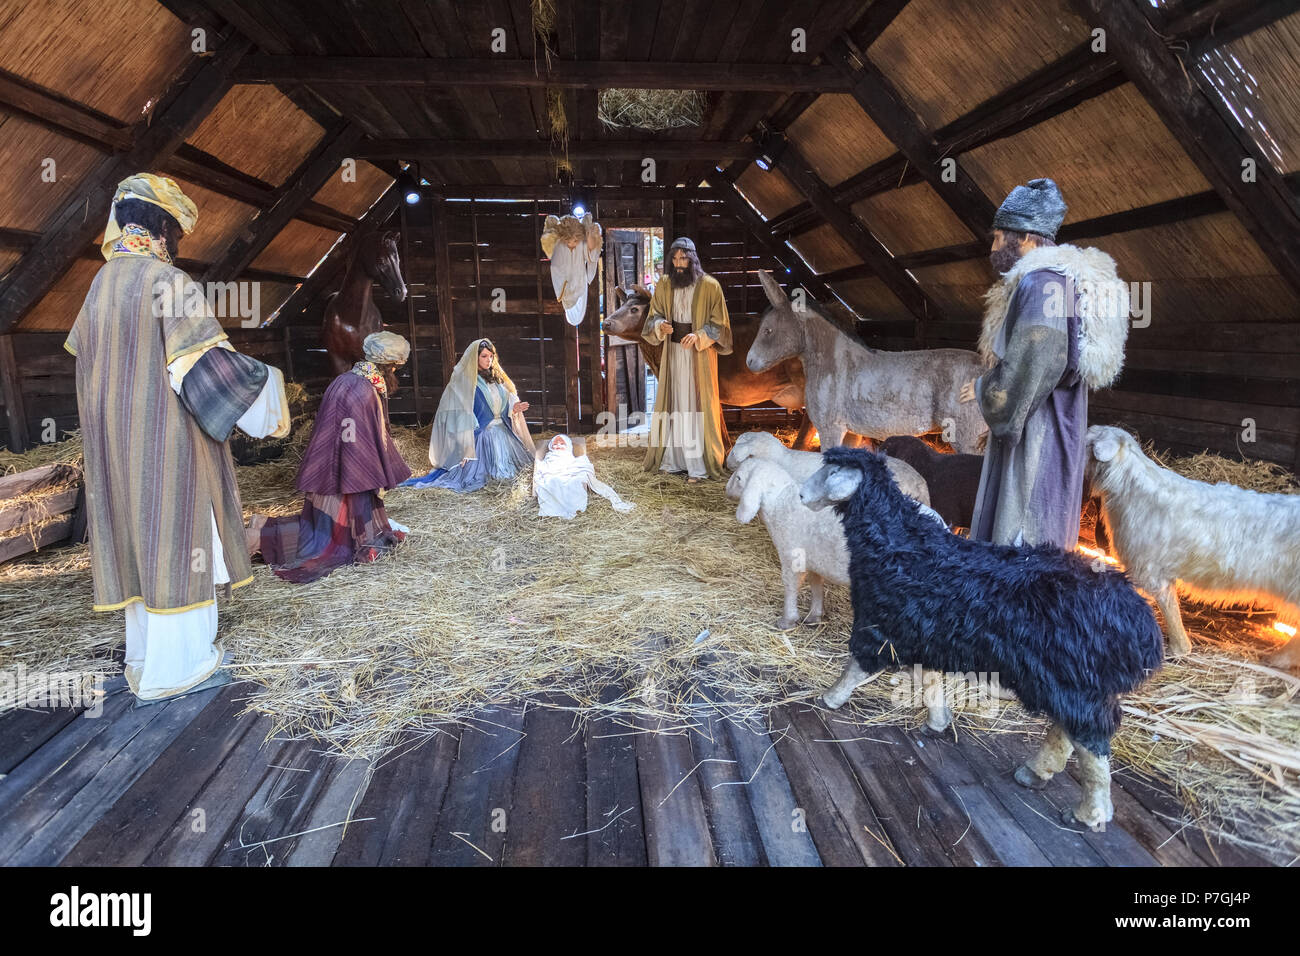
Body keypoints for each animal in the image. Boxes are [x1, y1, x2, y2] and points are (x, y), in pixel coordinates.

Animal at [800, 447, 1170, 832]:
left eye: (832, 472)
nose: (800, 495)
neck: (898, 544)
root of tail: (1140, 621)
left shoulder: (879, 625)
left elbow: (855, 667)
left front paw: (829, 698)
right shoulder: (924, 630)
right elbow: (930, 679)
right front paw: (938, 721)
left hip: (1075, 681)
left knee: (1091, 743)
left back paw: (1089, 813)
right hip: (1073, 683)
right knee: (1068, 731)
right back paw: (1036, 773)